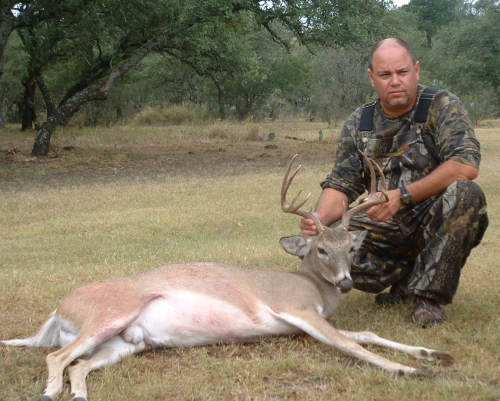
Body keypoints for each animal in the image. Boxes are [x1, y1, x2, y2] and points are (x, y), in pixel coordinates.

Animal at [0, 152, 454, 400]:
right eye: (321, 249)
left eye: (352, 248)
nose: (344, 281)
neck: (313, 287)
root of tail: (58, 309)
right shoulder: (296, 309)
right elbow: (352, 345)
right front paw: (413, 371)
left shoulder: (307, 323)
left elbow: (366, 334)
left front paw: (434, 354)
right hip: (110, 313)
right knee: (56, 356)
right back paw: (49, 392)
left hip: (127, 342)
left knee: (78, 365)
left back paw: (77, 394)